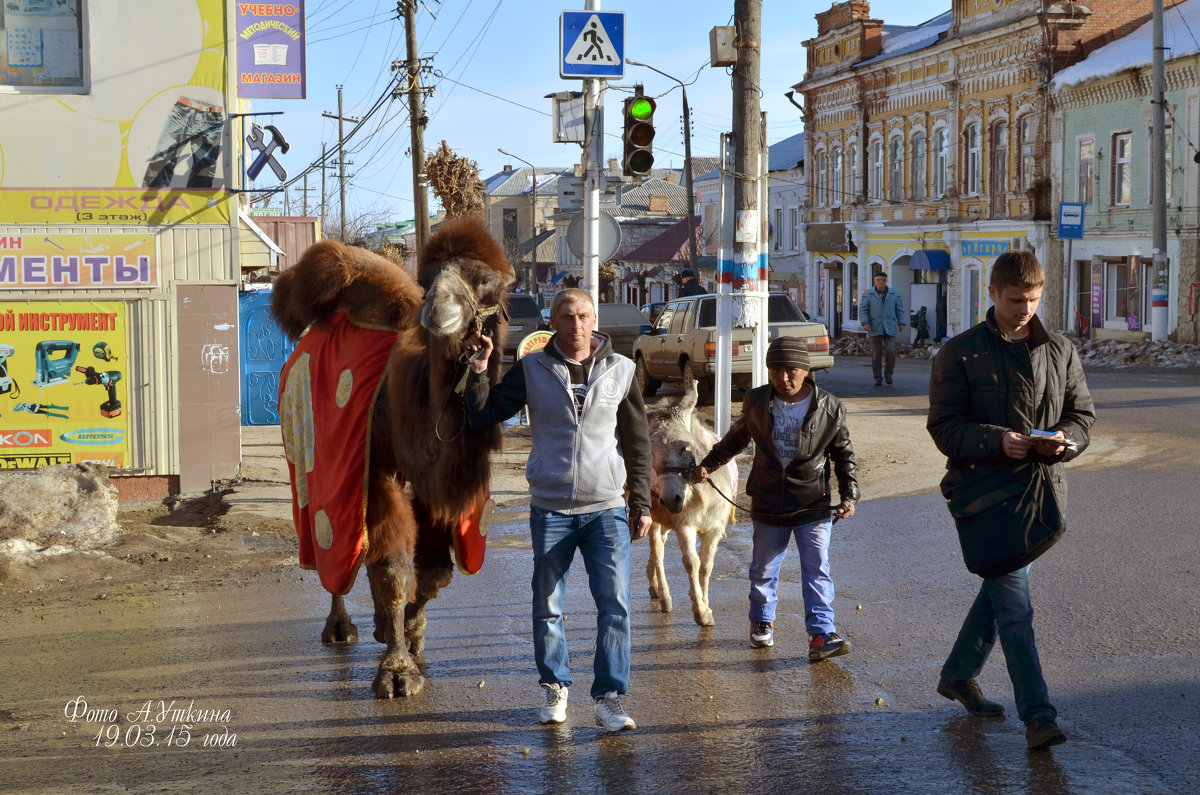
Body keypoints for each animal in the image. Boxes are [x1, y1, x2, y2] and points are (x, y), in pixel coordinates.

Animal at [272, 216, 511, 696]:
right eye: (428, 278)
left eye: (484, 280)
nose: (437, 308)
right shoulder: (371, 469)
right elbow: (394, 569)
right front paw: (397, 671)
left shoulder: (432, 485)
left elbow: (434, 570)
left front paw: (410, 632)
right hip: (315, 465)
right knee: (337, 552)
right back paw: (340, 626)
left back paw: (382, 624)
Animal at [643, 379, 734, 629]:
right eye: (651, 453)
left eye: (685, 448)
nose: (670, 499)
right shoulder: (685, 526)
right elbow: (692, 563)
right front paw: (700, 611)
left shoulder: (715, 528)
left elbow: (706, 565)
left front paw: (706, 605)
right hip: (653, 514)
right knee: (658, 549)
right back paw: (664, 596)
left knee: (659, 545)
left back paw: (654, 585)